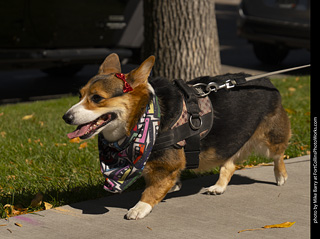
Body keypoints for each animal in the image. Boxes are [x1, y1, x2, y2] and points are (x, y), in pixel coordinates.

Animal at [62, 53, 290, 220]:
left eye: (97, 98)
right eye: (80, 95)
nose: (66, 117)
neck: (142, 116)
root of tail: (266, 79)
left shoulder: (167, 164)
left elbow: (151, 190)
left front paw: (140, 207)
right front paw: (174, 186)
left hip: (269, 139)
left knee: (278, 156)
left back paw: (280, 177)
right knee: (229, 163)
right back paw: (219, 186)